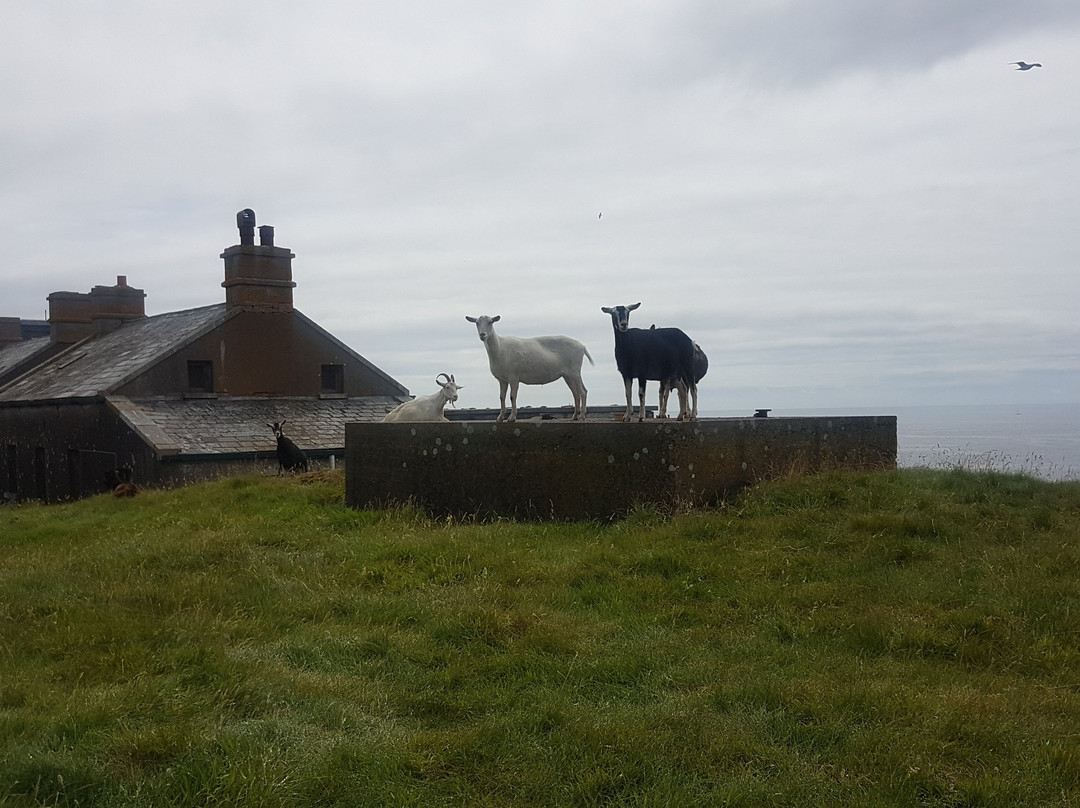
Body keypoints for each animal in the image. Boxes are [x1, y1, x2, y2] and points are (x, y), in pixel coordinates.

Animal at [464, 313, 596, 423]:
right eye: (477, 323)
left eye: (491, 322)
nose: (482, 335)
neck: (500, 349)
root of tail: (582, 346)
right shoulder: (502, 379)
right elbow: (501, 397)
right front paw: (500, 418)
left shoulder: (513, 377)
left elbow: (512, 396)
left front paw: (512, 418)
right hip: (568, 375)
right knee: (575, 393)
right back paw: (574, 416)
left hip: (575, 371)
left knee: (583, 391)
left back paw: (582, 416)